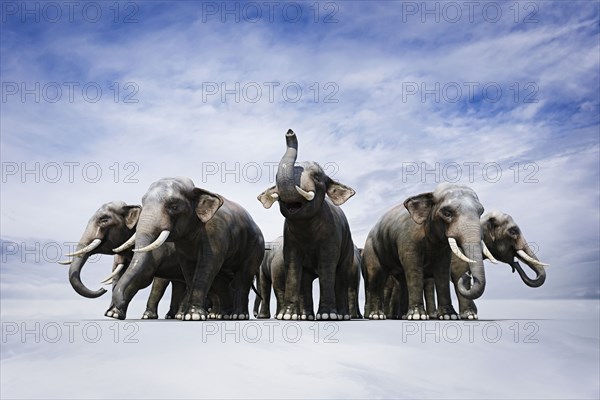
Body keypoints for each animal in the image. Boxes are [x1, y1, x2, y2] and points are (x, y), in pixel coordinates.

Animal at [106, 177, 264, 320]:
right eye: (143, 202)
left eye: (174, 206)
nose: (117, 306)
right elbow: (188, 269)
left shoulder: (215, 233)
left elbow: (207, 265)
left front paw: (192, 316)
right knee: (221, 281)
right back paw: (223, 316)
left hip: (255, 247)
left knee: (243, 276)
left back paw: (238, 316)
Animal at [256, 130, 356, 320]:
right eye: (275, 178)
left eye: (317, 177)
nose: (289, 132)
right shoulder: (290, 240)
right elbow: (294, 267)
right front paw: (287, 316)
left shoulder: (331, 235)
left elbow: (327, 266)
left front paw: (327, 316)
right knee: (305, 280)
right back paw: (306, 316)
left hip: (348, 247)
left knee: (341, 275)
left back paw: (343, 316)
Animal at [360, 183, 488, 320]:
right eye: (447, 213)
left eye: (481, 212)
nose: (467, 276)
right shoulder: (408, 238)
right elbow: (414, 267)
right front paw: (418, 316)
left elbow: (442, 271)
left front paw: (449, 316)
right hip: (371, 249)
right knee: (376, 277)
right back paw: (377, 316)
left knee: (402, 280)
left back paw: (403, 316)